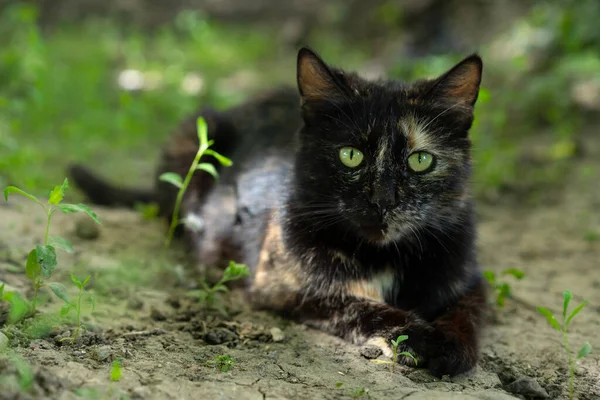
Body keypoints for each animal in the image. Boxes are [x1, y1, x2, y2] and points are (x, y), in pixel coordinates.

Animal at [68, 47, 488, 378]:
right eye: (350, 155)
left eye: (420, 160)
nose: (382, 200)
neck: (384, 256)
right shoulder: (286, 286)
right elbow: (368, 307)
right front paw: (420, 337)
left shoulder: (469, 279)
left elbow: (466, 314)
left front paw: (452, 346)